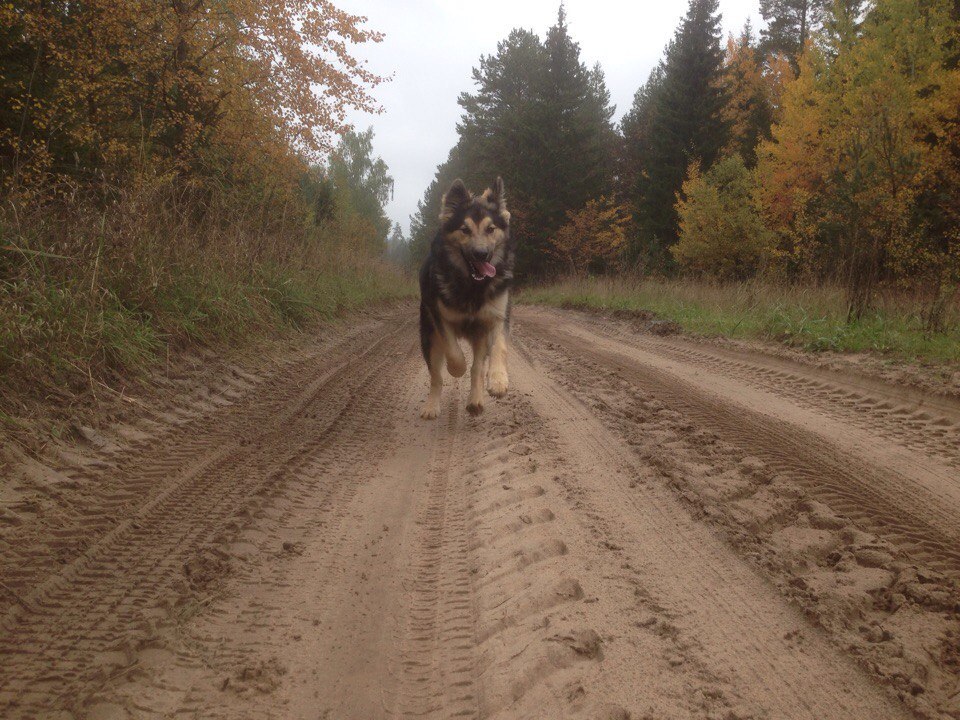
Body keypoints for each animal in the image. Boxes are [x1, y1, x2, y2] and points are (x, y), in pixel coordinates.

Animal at [418, 176, 512, 420]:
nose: (481, 254)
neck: (473, 286)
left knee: (477, 368)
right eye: (464, 229)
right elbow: (453, 352)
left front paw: (498, 380)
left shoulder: (496, 317)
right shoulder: (440, 318)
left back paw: (475, 400)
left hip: (479, 336)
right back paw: (431, 406)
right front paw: (456, 369)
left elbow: (500, 346)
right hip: (427, 335)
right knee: (436, 376)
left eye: (491, 229)